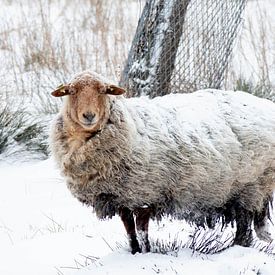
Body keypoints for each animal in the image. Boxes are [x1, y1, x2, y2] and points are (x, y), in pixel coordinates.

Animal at [50, 70, 275, 254]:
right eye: (71, 91)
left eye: (104, 90)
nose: (89, 116)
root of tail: (266, 104)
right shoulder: (122, 198)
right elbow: (130, 232)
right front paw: (134, 253)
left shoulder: (144, 194)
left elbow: (142, 232)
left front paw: (146, 254)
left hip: (253, 184)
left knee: (244, 228)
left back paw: (235, 250)